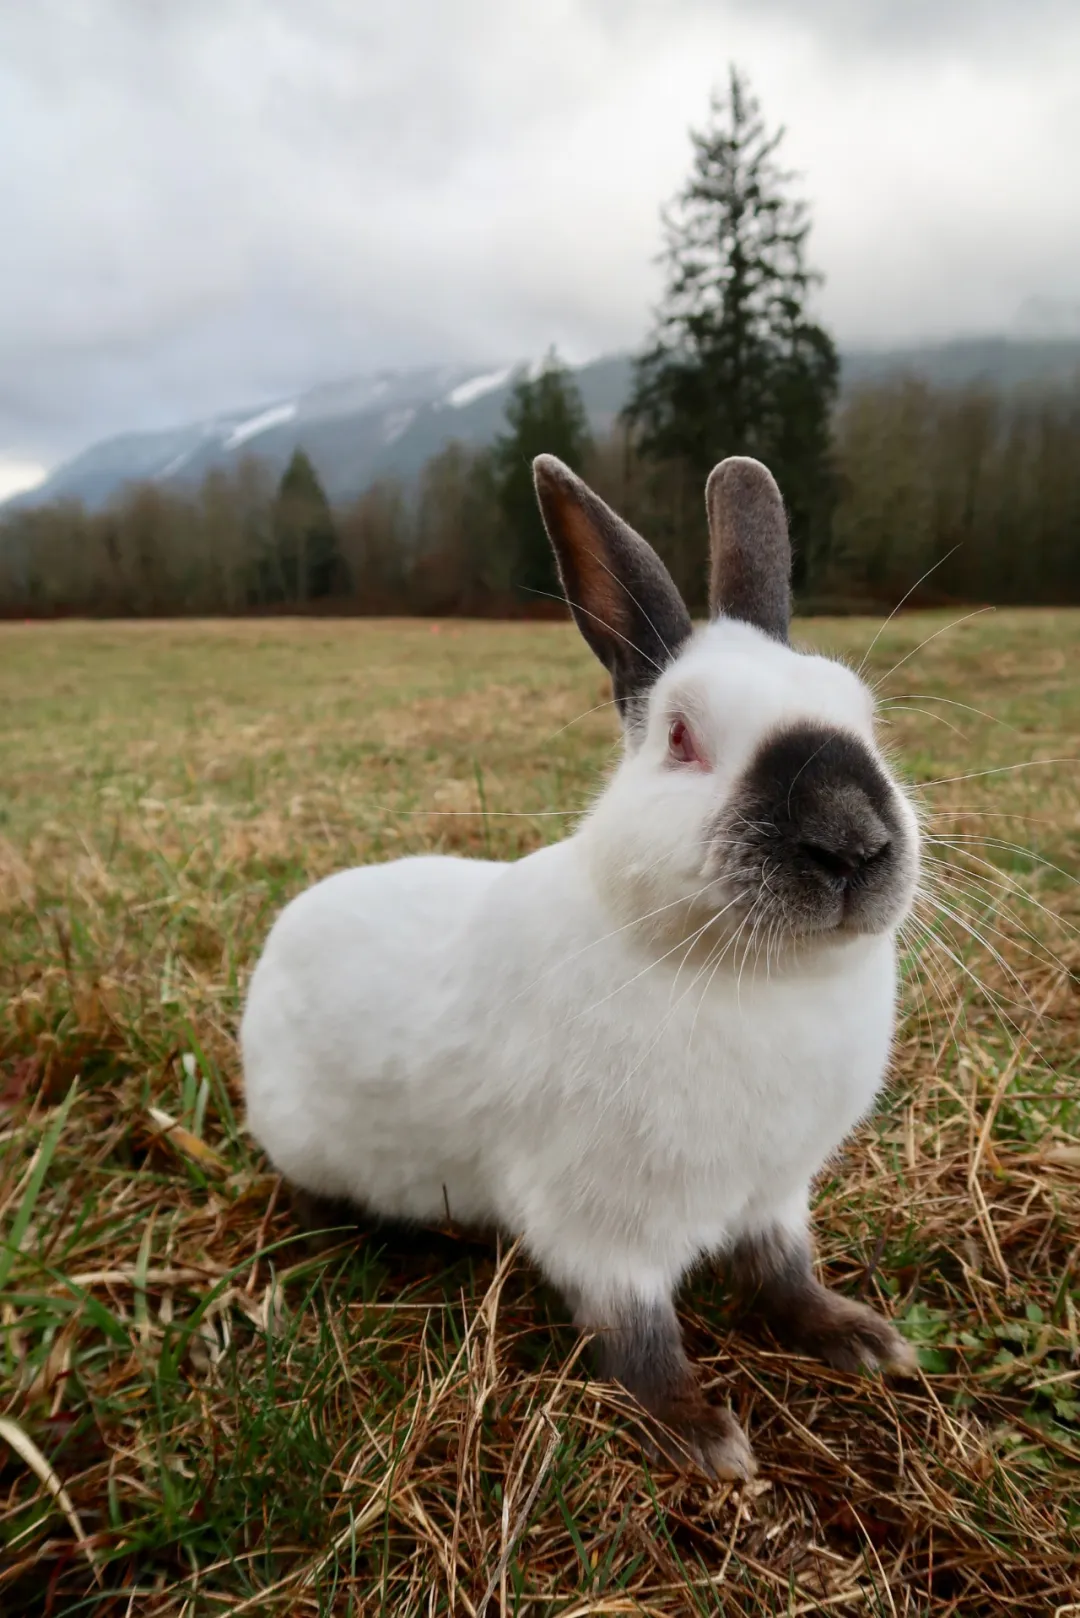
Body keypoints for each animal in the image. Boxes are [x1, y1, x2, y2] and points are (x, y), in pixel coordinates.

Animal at [242, 453, 919, 1482]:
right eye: (681, 737)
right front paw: (704, 1437)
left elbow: (783, 1276)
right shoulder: (603, 1229)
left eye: (864, 716)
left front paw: (860, 1339)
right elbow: (638, 1337)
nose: (850, 841)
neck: (757, 974)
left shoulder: (774, 1197)